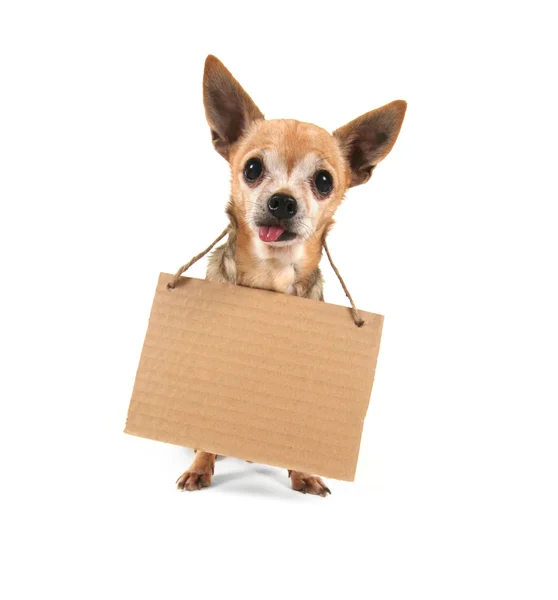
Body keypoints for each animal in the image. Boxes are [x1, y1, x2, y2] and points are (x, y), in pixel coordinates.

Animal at [176, 55, 406, 496]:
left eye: (324, 181)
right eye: (252, 168)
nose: (282, 201)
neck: (272, 274)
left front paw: (304, 473)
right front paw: (200, 465)